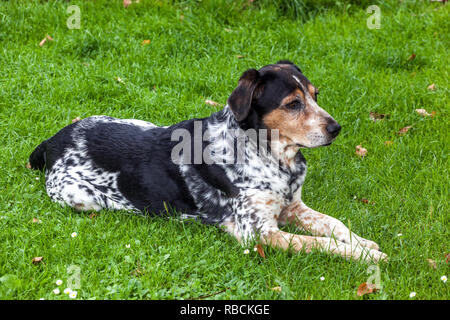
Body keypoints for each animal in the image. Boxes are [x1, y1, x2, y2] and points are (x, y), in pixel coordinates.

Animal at [29, 60, 386, 262]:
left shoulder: (293, 207)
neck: (271, 157)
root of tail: (52, 141)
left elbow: (335, 225)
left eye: (315, 95)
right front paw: (362, 254)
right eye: (293, 104)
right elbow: (318, 244)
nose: (336, 128)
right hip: (80, 197)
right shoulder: (259, 232)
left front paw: (362, 241)